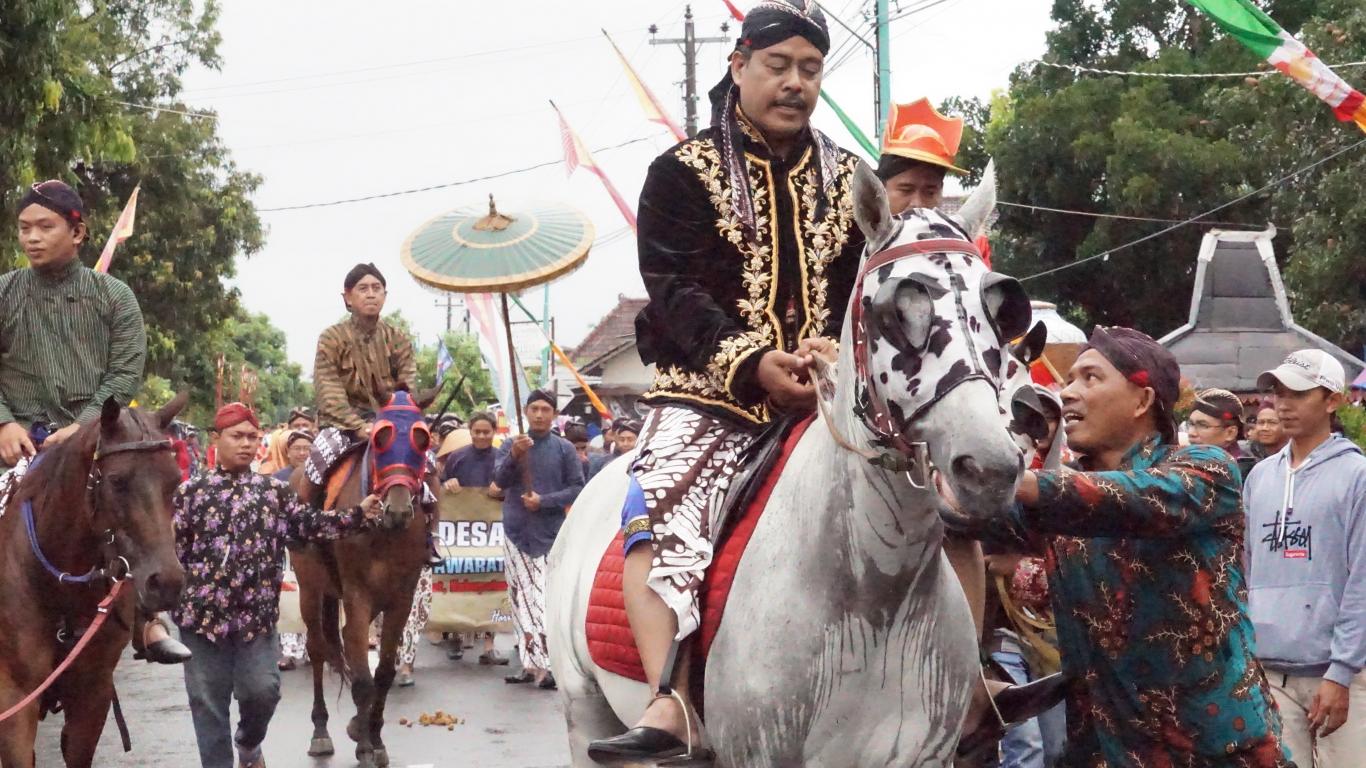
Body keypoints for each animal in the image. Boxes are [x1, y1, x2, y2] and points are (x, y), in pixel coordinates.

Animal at [288, 385, 437, 765]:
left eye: (423, 439)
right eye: (381, 437)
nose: (398, 510)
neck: (382, 531)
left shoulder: (401, 599)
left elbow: (382, 673)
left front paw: (373, 735)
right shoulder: (358, 595)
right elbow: (362, 680)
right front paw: (365, 745)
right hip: (310, 586)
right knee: (317, 647)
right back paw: (320, 731)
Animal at [549, 158, 1027, 759]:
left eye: (1001, 313)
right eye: (895, 312)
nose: (987, 468)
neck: (874, 597)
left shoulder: (926, 753)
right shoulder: (759, 749)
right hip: (583, 711)